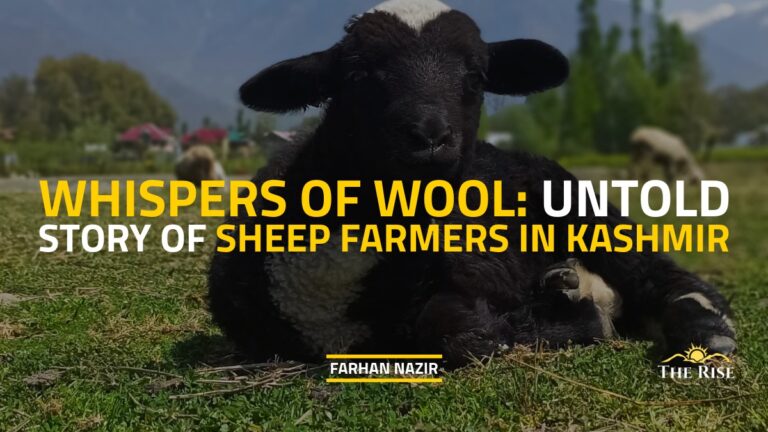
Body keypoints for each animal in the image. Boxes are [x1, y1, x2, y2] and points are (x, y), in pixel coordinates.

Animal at [208, 0, 735, 367]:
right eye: (356, 74)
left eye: (477, 76)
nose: (430, 136)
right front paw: (570, 305)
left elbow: (461, 333)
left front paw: (577, 315)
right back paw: (566, 283)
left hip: (577, 204)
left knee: (657, 275)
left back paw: (704, 328)